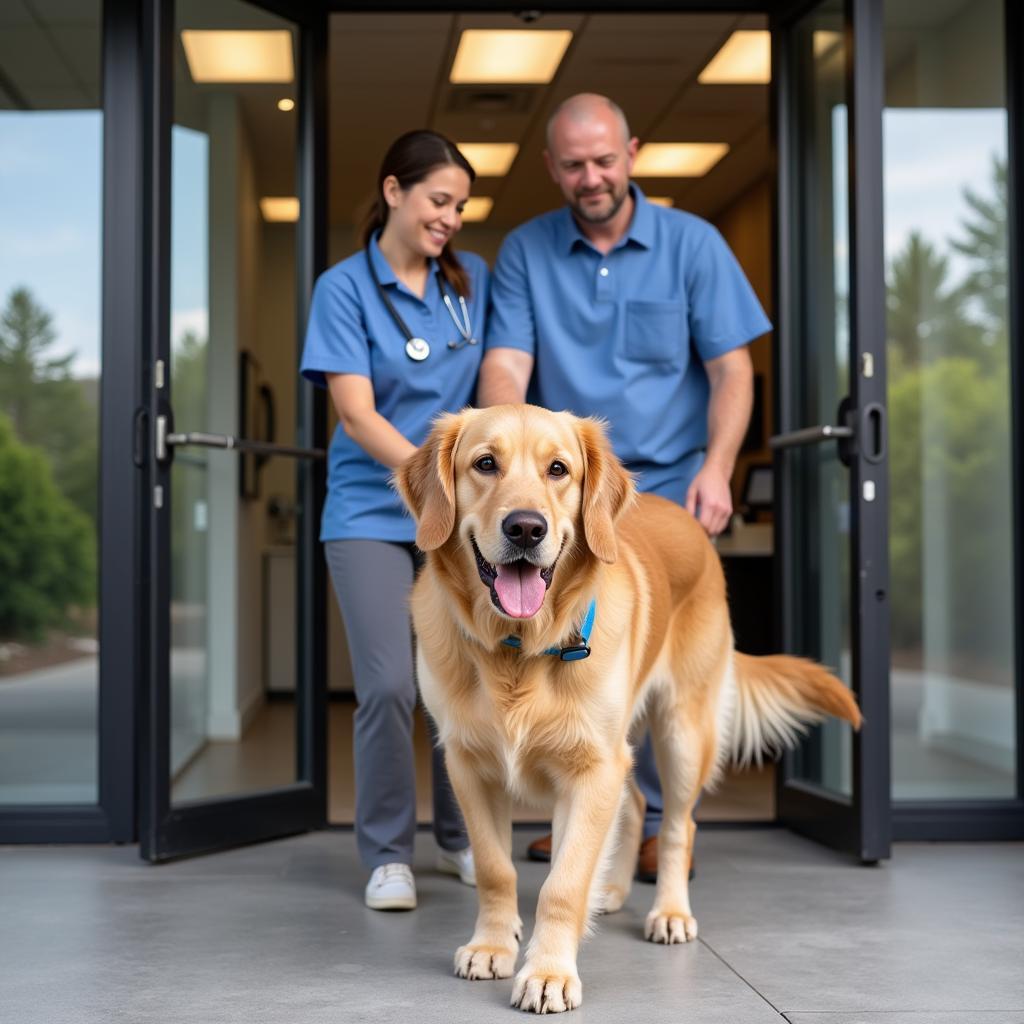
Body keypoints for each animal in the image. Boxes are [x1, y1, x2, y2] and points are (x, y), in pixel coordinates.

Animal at [395, 403, 860, 1011]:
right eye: (485, 463)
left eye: (559, 469)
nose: (526, 527)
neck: (518, 649)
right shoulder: (470, 764)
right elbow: (498, 869)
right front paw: (492, 945)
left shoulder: (593, 765)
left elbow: (563, 882)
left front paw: (549, 972)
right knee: (635, 803)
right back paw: (610, 890)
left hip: (682, 733)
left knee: (678, 826)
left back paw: (670, 911)